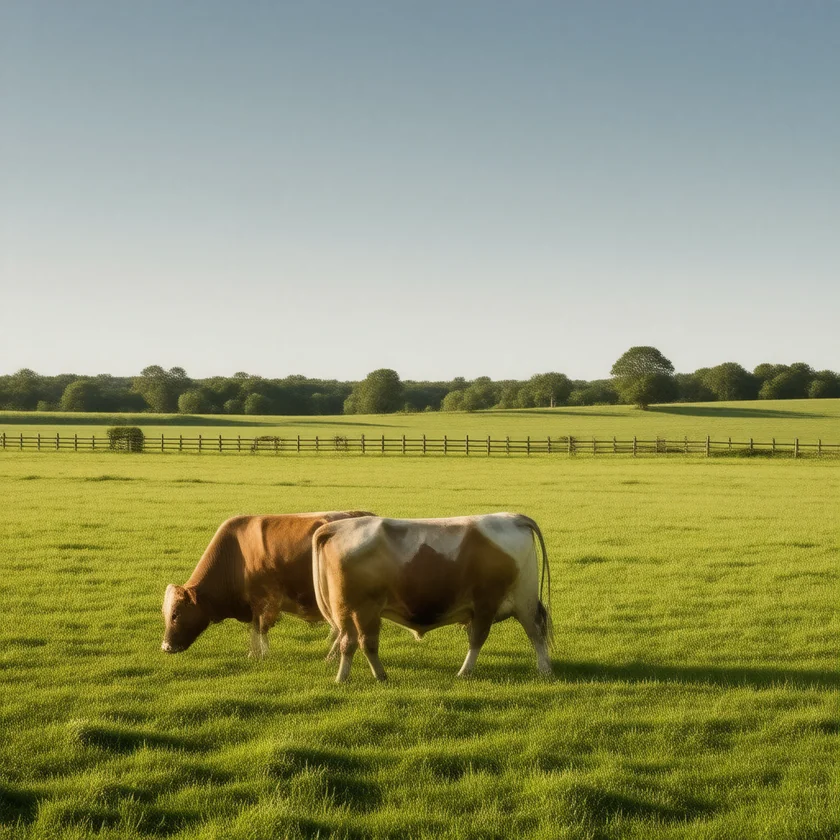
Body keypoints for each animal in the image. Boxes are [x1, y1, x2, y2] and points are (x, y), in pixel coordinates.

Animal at [161, 511, 373, 657]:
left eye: (175, 614)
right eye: (165, 614)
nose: (165, 647)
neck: (235, 556)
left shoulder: (265, 600)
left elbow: (260, 628)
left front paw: (260, 654)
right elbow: (255, 628)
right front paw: (254, 653)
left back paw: (332, 656)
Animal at [312, 513, 552, 682]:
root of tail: (512, 518)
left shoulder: (363, 610)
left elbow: (366, 643)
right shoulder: (350, 610)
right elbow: (352, 643)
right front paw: (344, 678)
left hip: (514, 600)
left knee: (528, 631)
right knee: (351, 642)